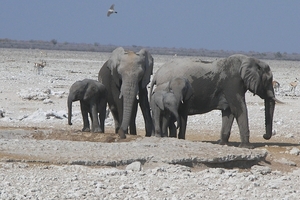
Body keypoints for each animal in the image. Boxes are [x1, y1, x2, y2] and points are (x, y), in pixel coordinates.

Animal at [150, 54, 282, 148]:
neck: (249, 60)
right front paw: (247, 147)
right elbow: (239, 108)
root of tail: (156, 74)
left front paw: (222, 143)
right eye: (268, 80)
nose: (264, 136)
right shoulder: (232, 82)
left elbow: (229, 112)